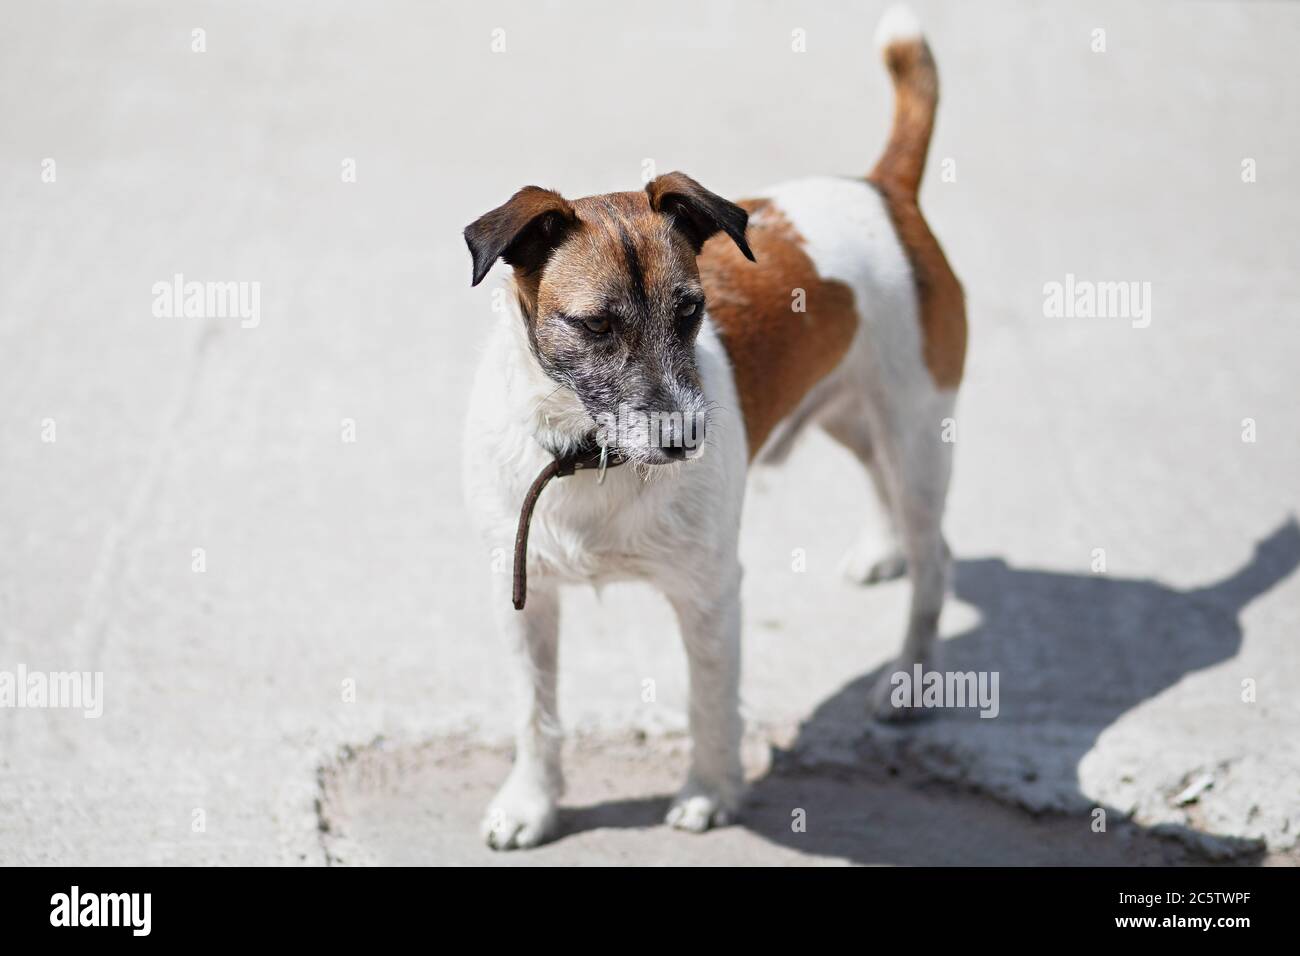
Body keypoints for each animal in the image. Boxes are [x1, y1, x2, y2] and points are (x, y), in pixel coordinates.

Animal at [462, 3, 961, 848]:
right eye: (595, 325)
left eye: (692, 310)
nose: (682, 439)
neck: (592, 456)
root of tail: (883, 189)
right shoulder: (525, 597)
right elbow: (536, 713)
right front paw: (531, 803)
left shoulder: (710, 593)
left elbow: (708, 702)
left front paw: (711, 792)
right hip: (854, 414)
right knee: (878, 477)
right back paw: (880, 550)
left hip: (920, 431)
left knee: (934, 562)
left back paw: (908, 678)